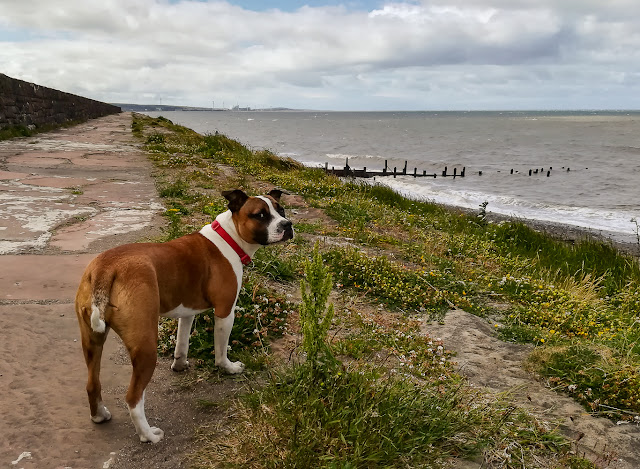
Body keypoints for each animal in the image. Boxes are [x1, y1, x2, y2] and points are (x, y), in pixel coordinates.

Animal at [74, 188, 292, 440]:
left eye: (281, 209)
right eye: (260, 215)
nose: (287, 224)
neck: (228, 238)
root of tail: (107, 267)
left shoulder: (187, 312)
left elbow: (182, 342)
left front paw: (179, 364)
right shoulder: (225, 312)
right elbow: (221, 350)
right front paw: (228, 368)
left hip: (92, 340)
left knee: (92, 383)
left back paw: (99, 415)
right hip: (146, 347)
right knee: (133, 398)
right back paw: (148, 435)